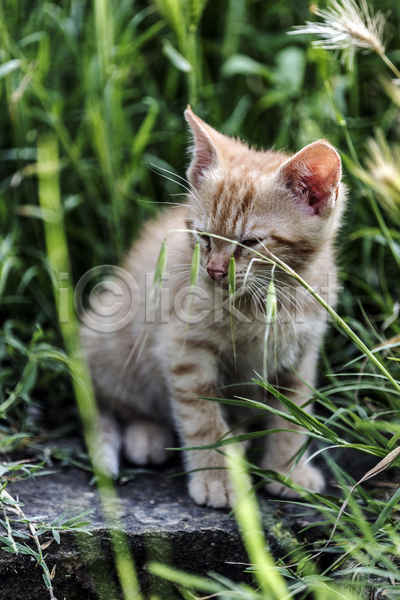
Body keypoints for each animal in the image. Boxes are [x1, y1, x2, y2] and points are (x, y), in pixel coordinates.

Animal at [80, 106, 344, 506]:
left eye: (250, 243)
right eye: (203, 237)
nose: (215, 271)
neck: (266, 301)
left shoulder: (301, 354)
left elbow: (292, 416)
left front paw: (288, 471)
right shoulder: (184, 349)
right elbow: (201, 416)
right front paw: (217, 478)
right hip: (111, 343)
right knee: (122, 403)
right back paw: (149, 437)